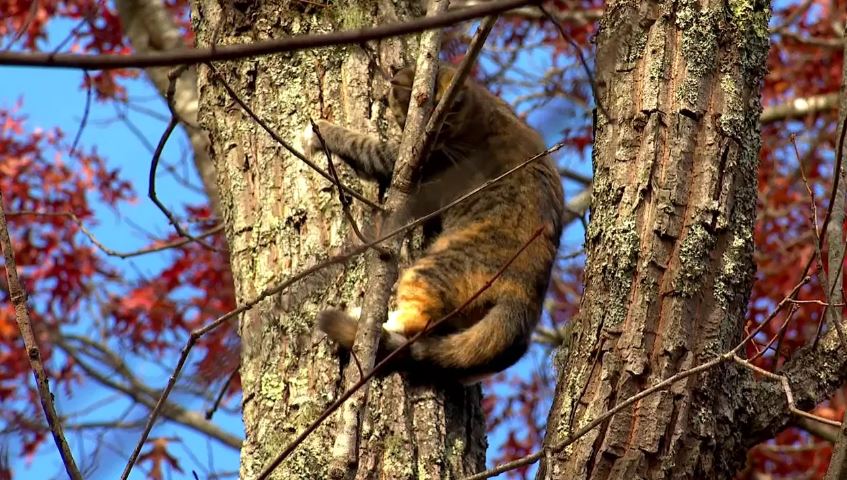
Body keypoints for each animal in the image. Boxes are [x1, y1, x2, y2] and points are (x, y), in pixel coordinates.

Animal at [302, 64, 568, 386]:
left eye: (444, 123)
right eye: (436, 122)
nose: (435, 139)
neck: (478, 107)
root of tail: (526, 298)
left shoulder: (405, 161)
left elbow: (363, 144)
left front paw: (320, 132)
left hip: (432, 269)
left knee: (417, 321)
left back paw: (374, 322)